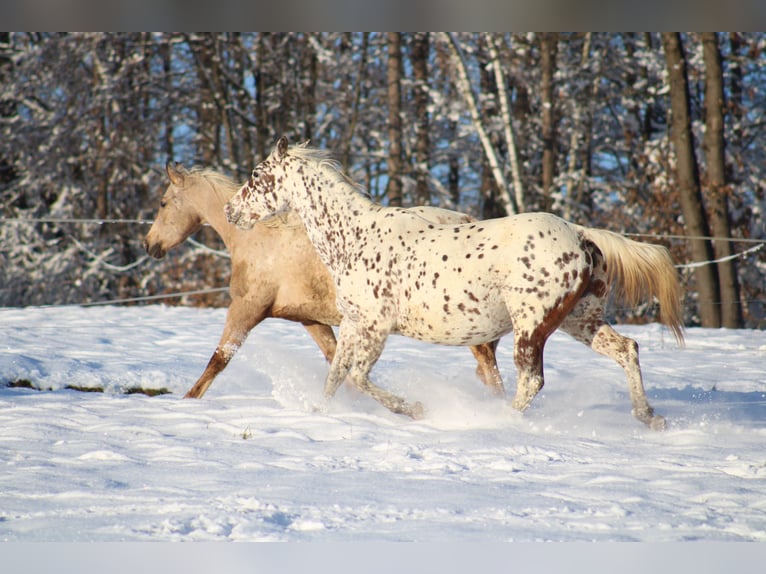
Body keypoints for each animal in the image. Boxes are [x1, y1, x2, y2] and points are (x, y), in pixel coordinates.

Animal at [144, 162, 508, 414]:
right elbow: (336, 364)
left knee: (492, 372)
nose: (150, 245)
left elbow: (219, 359)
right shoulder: (312, 321)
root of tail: (468, 221)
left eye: (162, 203)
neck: (258, 241)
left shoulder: (247, 309)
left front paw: (188, 400)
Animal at [225, 137, 688, 430]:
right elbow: (335, 377)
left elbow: (357, 378)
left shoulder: (375, 328)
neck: (354, 239)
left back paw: (499, 422)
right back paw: (651, 417)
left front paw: (415, 410)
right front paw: (319, 414)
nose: (231, 210)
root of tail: (580, 234)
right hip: (581, 320)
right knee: (626, 350)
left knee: (531, 381)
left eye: (256, 174)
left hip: (532, 326)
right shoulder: (355, 326)